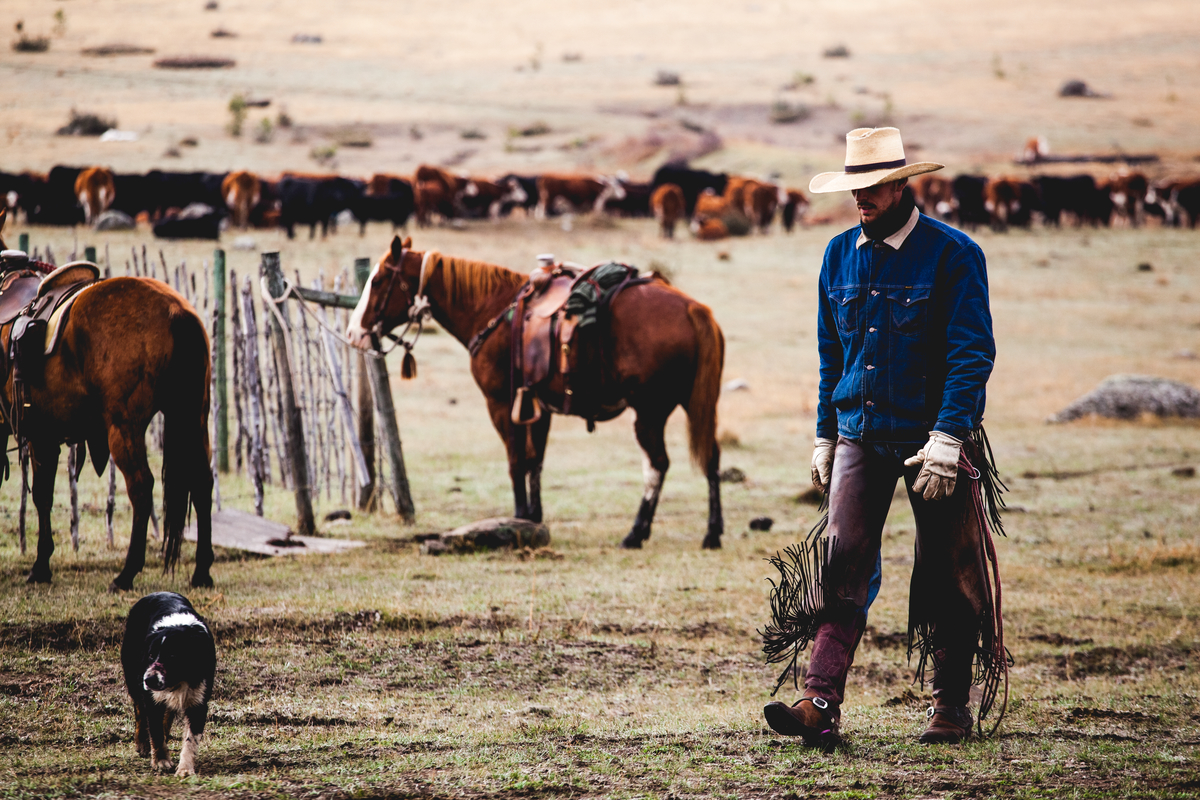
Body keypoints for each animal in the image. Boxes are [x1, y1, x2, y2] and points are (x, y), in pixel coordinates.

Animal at [0, 209, 213, 592]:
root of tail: (176, 311)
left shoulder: (35, 433)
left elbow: (41, 495)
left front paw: (40, 565)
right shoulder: (44, 435)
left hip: (123, 426)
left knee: (142, 487)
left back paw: (127, 572)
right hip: (194, 416)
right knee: (202, 481)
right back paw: (202, 570)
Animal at [343, 236, 724, 551]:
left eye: (377, 281)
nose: (352, 332)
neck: (491, 310)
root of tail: (693, 309)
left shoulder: (500, 403)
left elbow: (515, 461)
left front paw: (517, 517)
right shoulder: (540, 408)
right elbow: (534, 461)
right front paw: (533, 519)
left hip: (649, 412)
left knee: (657, 465)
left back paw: (636, 533)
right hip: (696, 405)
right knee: (711, 457)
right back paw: (712, 533)